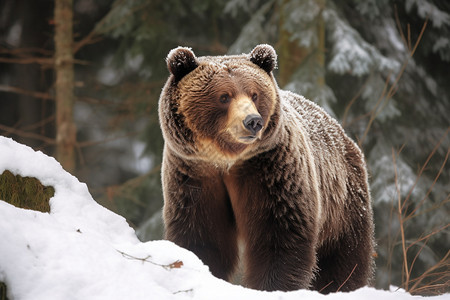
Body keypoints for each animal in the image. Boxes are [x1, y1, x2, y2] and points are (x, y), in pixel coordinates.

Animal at [157, 44, 372, 292]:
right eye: (224, 96)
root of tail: (342, 133)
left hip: (343, 202)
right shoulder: (195, 174)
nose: (253, 121)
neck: (227, 160)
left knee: (343, 257)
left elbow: (278, 235)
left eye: (254, 94)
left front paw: (272, 286)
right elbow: (201, 236)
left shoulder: (271, 170)